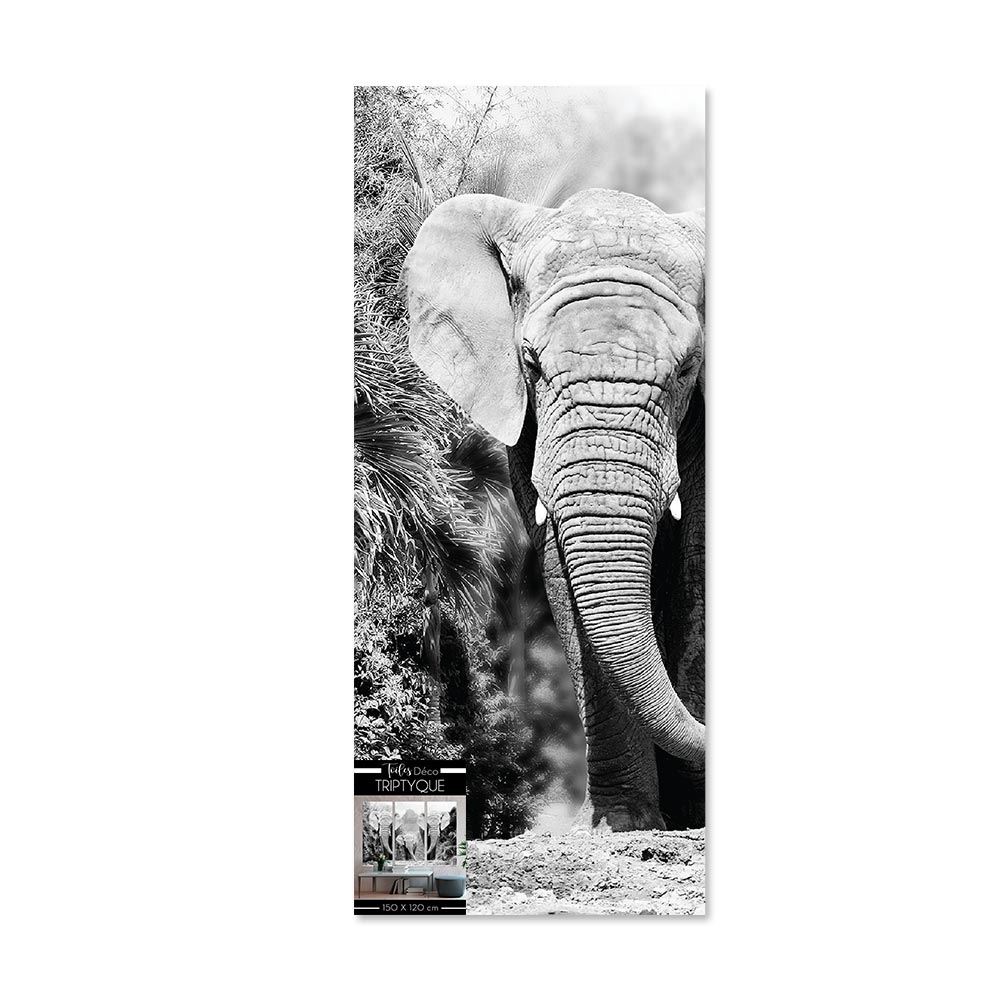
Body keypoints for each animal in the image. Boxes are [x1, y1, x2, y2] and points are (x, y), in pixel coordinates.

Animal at [403, 188, 706, 832]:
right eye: (531, 363)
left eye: (688, 368)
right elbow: (561, 575)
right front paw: (626, 825)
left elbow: (697, 562)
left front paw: (692, 817)